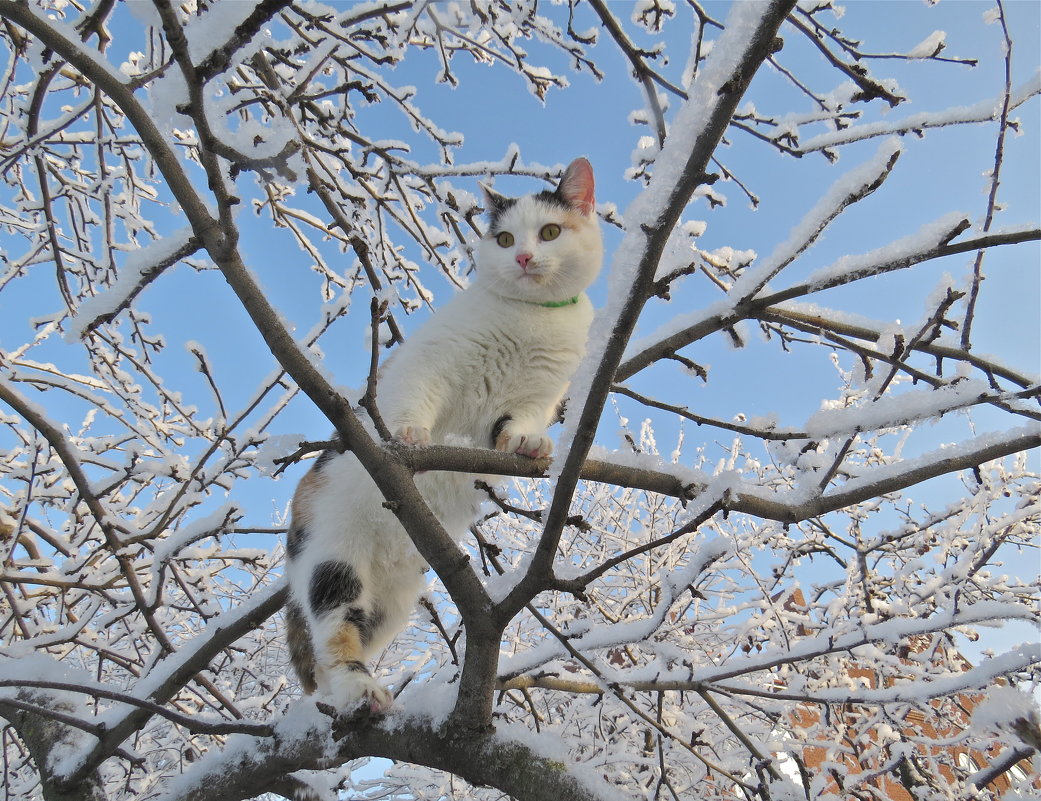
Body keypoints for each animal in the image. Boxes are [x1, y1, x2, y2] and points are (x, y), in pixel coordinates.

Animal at [285, 158, 603, 712]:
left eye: (549, 232)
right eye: (503, 238)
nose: (522, 256)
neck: (532, 318)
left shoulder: (539, 395)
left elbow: (517, 425)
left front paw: (528, 444)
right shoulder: (429, 362)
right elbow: (415, 397)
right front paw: (410, 434)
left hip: (390, 605)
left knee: (340, 644)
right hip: (332, 554)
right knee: (332, 631)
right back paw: (357, 687)